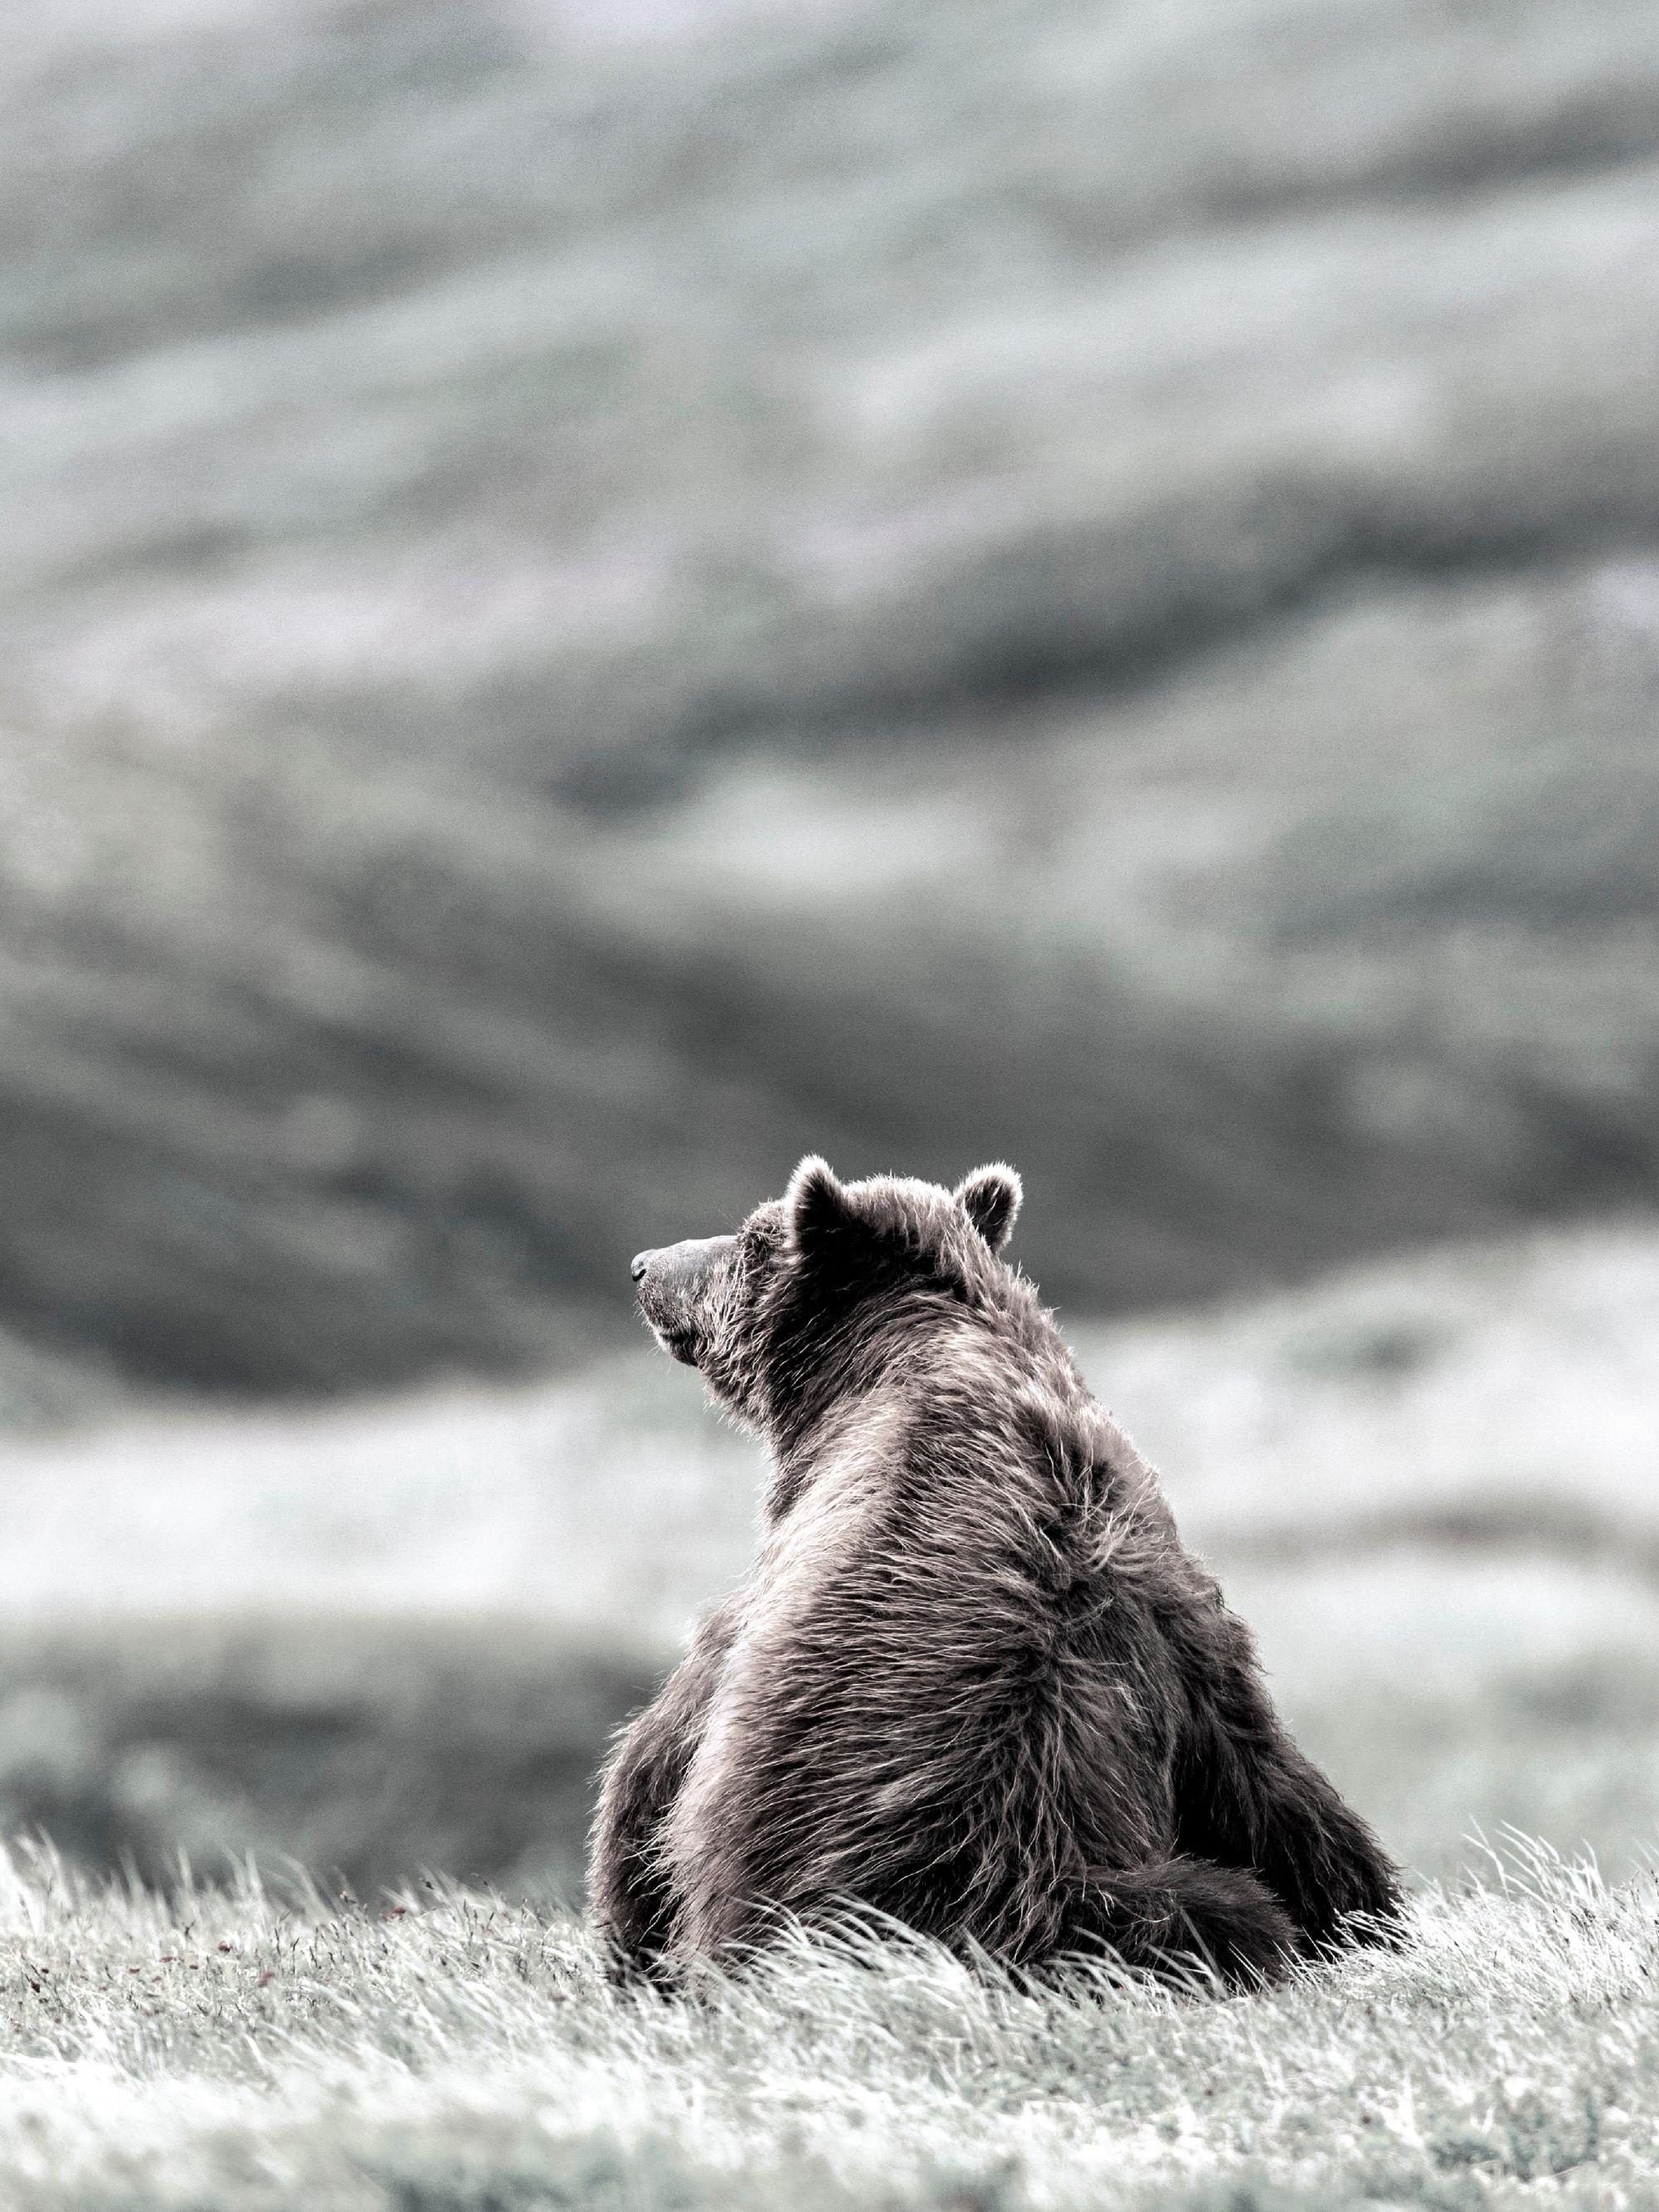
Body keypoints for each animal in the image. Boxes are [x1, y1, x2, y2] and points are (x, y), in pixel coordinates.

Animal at [591, 1158, 1402, 1991]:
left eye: (754, 1237)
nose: (644, 1265)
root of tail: (1025, 1880)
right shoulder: (1179, 1598)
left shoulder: (785, 1582)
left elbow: (658, 1755)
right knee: (1271, 1861)